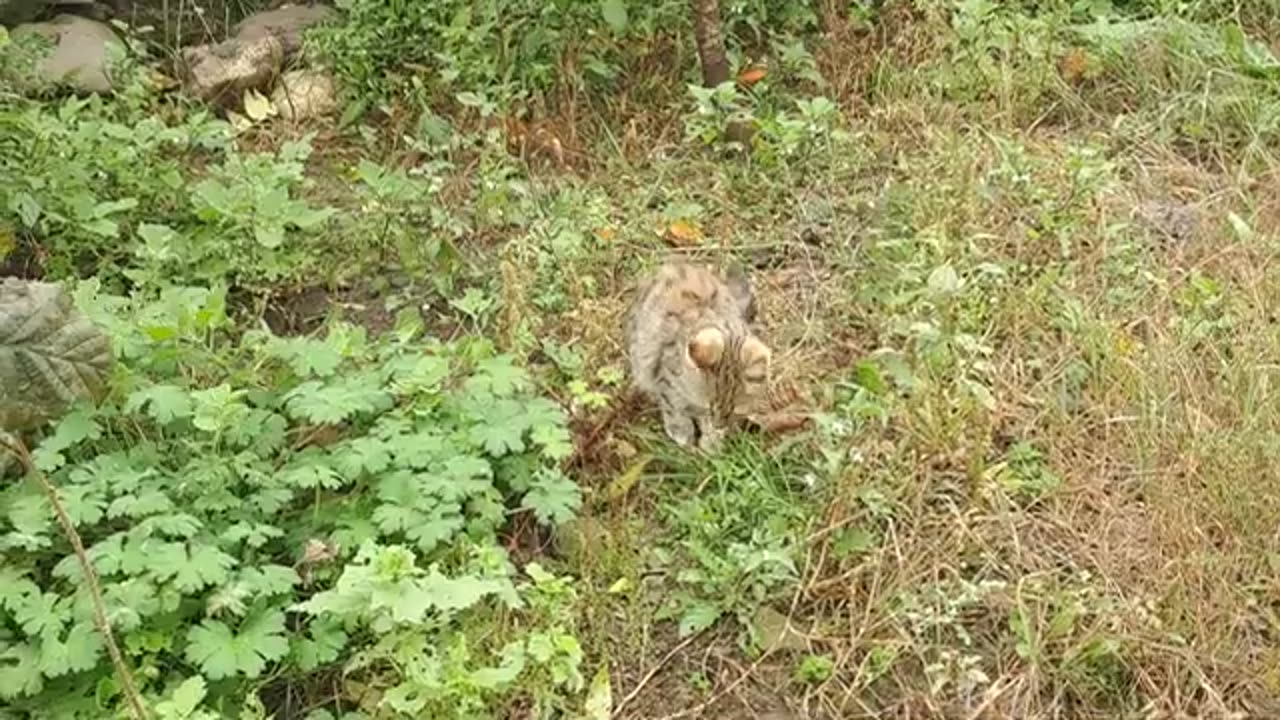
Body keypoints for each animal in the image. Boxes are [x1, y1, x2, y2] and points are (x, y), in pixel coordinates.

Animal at [622, 257, 762, 448]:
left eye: (733, 411)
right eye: (710, 407)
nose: (719, 423)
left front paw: (711, 442)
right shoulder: (665, 378)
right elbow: (673, 408)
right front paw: (682, 432)